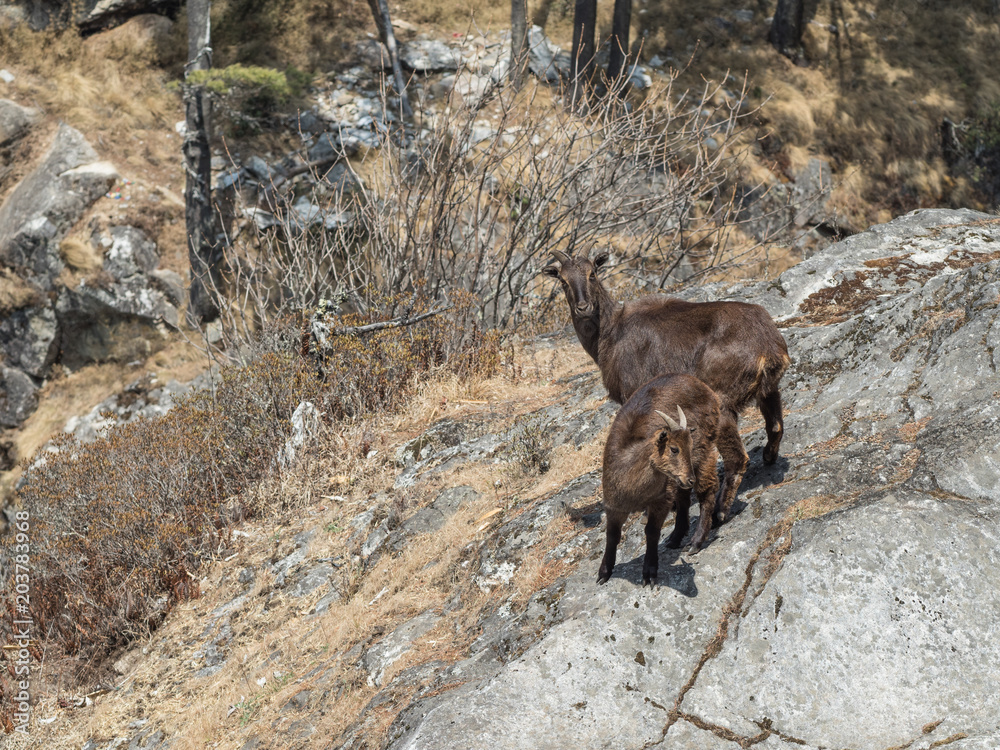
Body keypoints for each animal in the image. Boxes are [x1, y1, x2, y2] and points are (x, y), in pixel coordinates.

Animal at [544, 249, 789, 524]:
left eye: (592, 274)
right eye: (563, 281)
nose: (583, 307)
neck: (610, 334)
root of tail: (769, 346)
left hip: (722, 403)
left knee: (737, 459)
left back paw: (719, 513)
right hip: (769, 391)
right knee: (775, 426)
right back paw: (767, 458)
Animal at [599, 374, 721, 585]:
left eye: (688, 447)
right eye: (674, 449)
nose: (690, 479)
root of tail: (699, 384)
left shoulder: (661, 500)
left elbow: (652, 531)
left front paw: (649, 572)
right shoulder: (614, 505)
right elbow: (612, 535)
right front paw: (603, 573)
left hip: (704, 452)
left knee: (707, 492)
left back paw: (695, 542)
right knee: (684, 499)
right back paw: (675, 538)